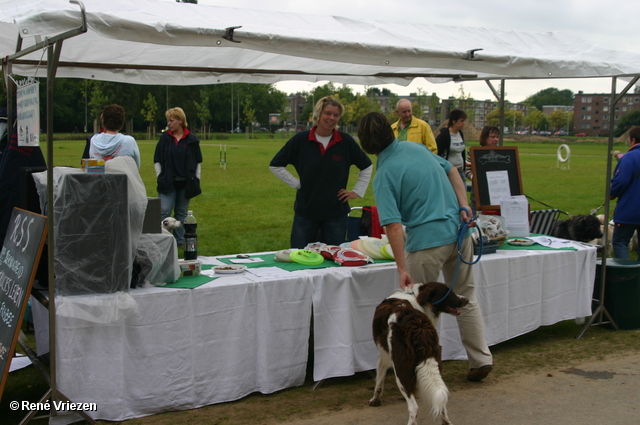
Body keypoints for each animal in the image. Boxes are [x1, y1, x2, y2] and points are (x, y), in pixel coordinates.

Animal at [370, 282, 470, 424]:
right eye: (448, 293)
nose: (467, 300)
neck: (414, 296)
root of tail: (418, 326)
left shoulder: (384, 356)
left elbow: (379, 380)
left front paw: (375, 399)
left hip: (400, 370)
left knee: (413, 408)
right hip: (435, 360)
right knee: (442, 400)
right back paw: (446, 421)